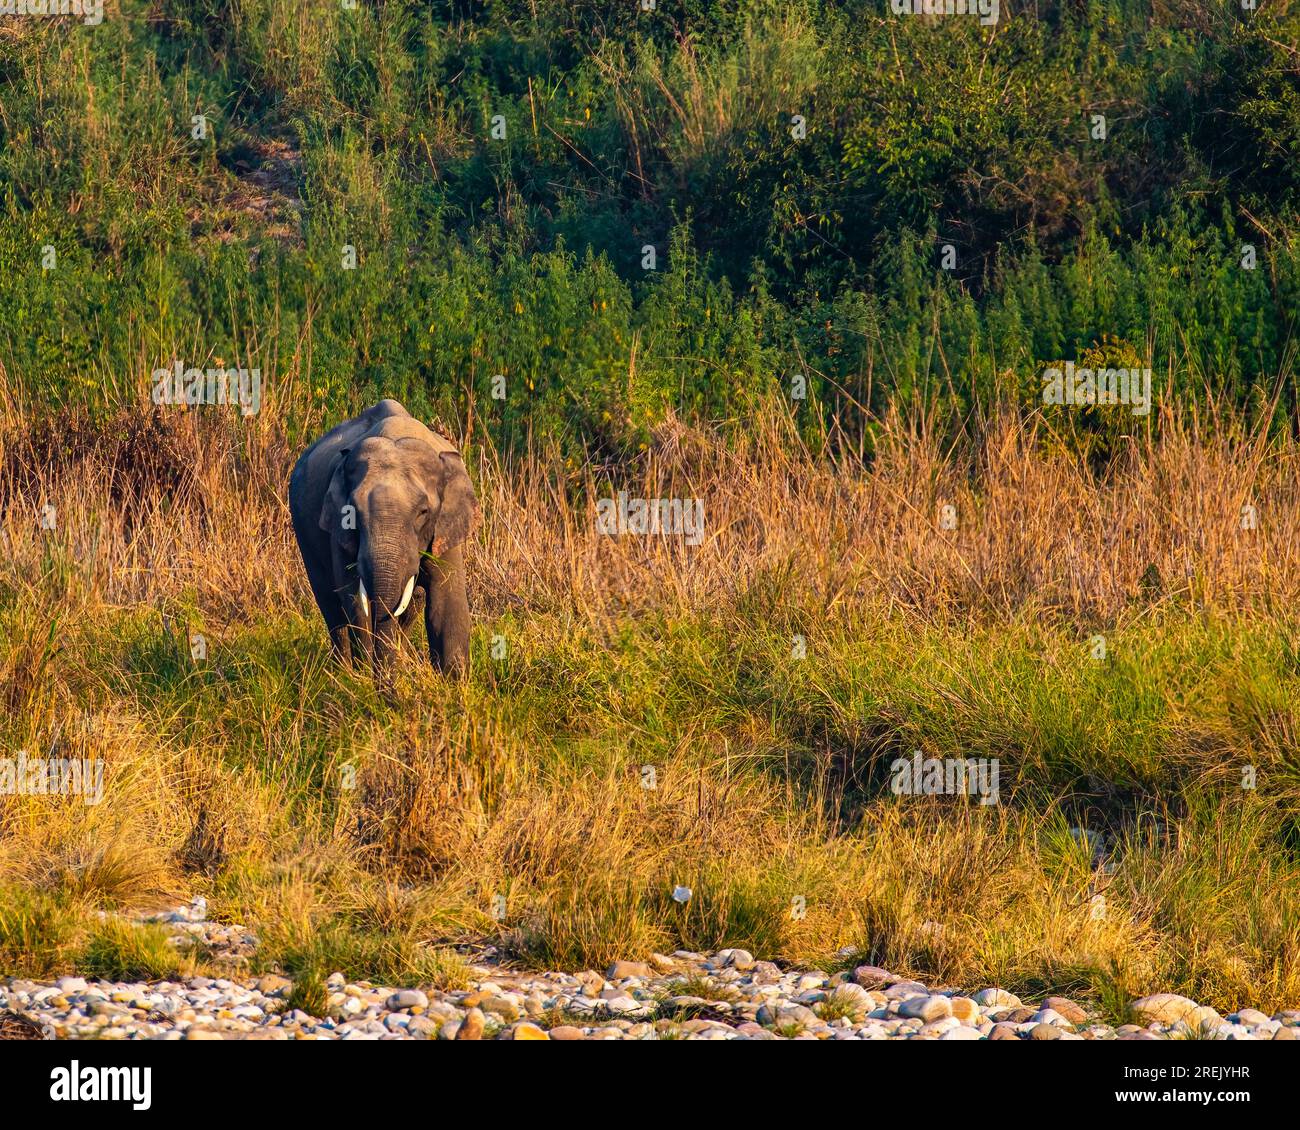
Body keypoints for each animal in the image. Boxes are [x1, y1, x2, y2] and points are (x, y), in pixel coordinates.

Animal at [288, 399, 478, 678]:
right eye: (352, 512)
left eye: (423, 512)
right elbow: (353, 598)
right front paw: (362, 677)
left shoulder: (445, 526)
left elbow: (446, 602)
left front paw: (454, 682)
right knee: (329, 603)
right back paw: (342, 673)